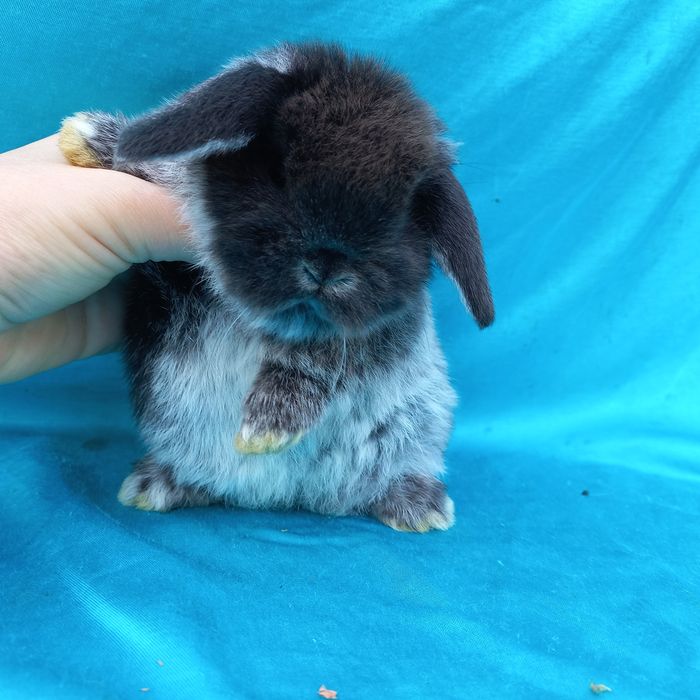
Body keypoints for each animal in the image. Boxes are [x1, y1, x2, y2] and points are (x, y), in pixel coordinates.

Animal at [58, 41, 494, 532]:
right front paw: (90, 137)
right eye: (279, 169)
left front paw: (266, 429)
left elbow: (321, 353)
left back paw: (419, 506)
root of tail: (284, 496)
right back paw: (158, 486)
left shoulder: (377, 326)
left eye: (403, 212)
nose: (328, 265)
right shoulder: (162, 288)